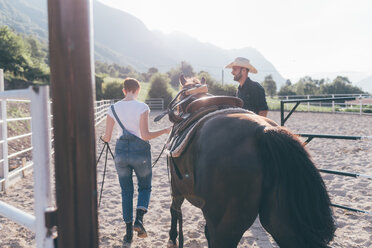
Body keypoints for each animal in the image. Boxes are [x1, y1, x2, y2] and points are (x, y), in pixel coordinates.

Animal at [164, 75, 336, 248]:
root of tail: (262, 130)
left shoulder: (176, 188)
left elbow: (174, 210)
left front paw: (172, 237)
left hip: (226, 226)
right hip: (281, 222)